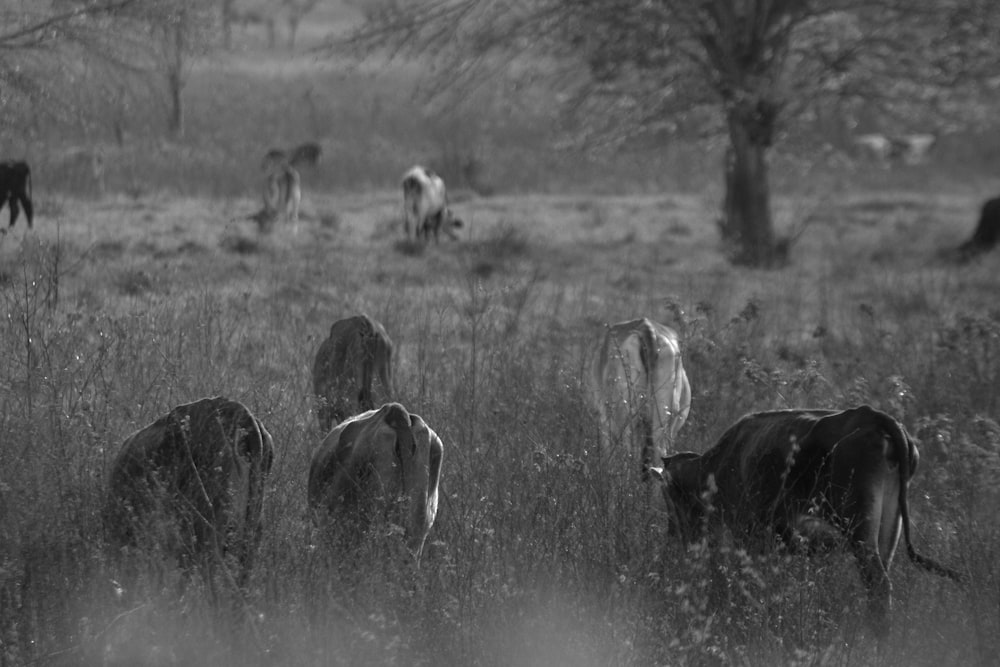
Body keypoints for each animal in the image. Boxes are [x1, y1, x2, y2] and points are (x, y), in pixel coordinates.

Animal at [588, 318, 692, 480]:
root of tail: (647, 327)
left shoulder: (604, 419)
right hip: (663, 418)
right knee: (659, 457)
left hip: (626, 415)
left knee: (631, 452)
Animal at [652, 404, 964, 640]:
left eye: (669, 496)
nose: (672, 534)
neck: (714, 465)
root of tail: (872, 415)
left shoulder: (747, 533)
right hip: (889, 527)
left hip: (859, 526)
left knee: (877, 583)